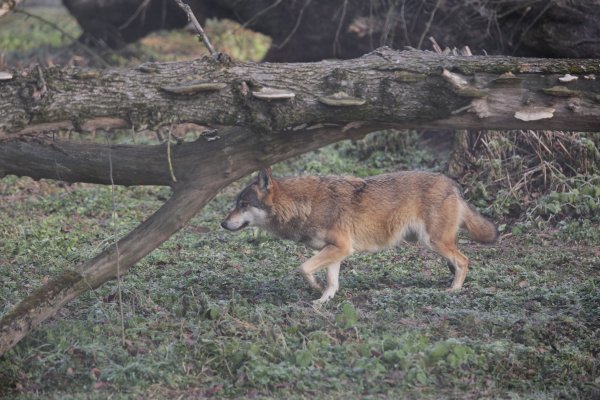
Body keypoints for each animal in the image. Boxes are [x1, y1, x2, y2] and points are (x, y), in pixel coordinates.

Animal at [220, 168, 496, 304]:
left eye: (244, 204)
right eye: (236, 204)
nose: (222, 223)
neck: (304, 205)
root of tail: (453, 186)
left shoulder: (340, 248)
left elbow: (303, 268)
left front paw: (316, 288)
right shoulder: (335, 251)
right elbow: (331, 281)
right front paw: (323, 300)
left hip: (433, 241)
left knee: (464, 261)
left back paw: (454, 291)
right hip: (430, 242)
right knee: (457, 262)